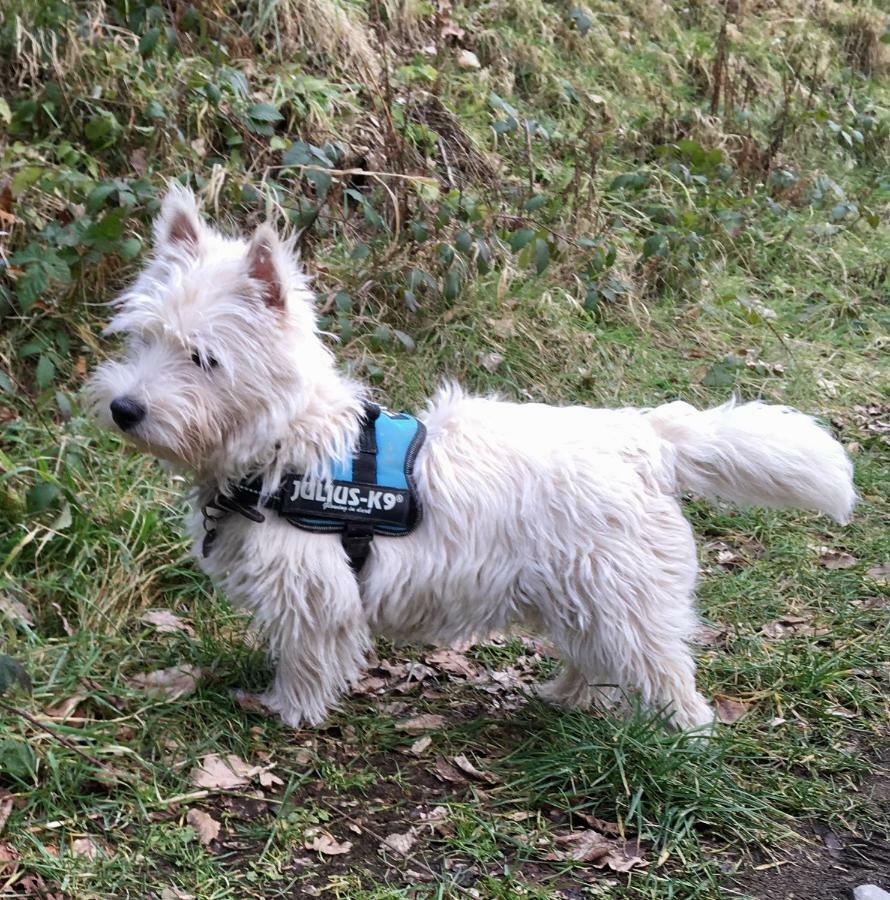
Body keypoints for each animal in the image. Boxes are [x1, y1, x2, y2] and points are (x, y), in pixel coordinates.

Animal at [88, 188, 852, 732]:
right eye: (142, 338)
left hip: (623, 595)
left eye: (203, 358)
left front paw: (287, 711)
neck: (285, 443)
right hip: (583, 594)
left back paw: (679, 742)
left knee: (666, 675)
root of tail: (644, 439)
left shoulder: (314, 592)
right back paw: (567, 697)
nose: (124, 408)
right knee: (598, 659)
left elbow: (305, 659)